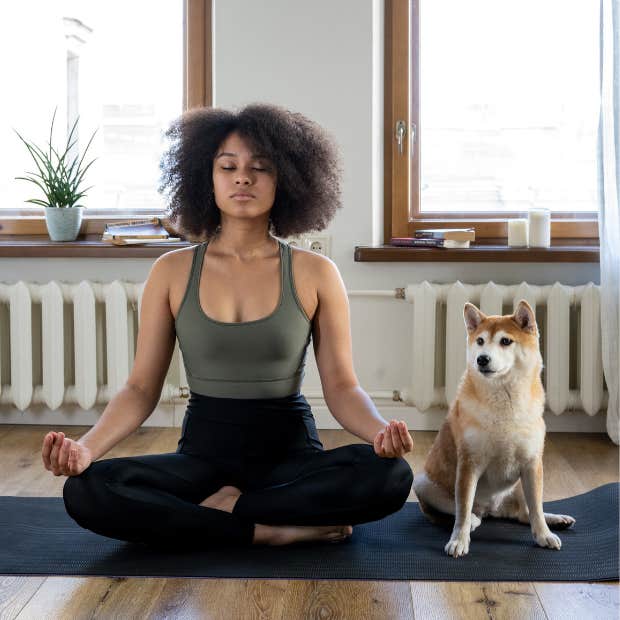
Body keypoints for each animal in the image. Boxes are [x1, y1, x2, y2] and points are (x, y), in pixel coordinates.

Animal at [412, 300, 576, 556]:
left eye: (505, 341)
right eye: (480, 341)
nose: (482, 359)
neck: (504, 403)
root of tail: (493, 509)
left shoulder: (532, 463)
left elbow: (536, 509)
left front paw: (544, 535)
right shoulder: (469, 464)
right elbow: (462, 510)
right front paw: (459, 540)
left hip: (519, 485)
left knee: (525, 513)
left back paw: (556, 519)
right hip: (423, 482)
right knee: (460, 512)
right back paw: (473, 520)